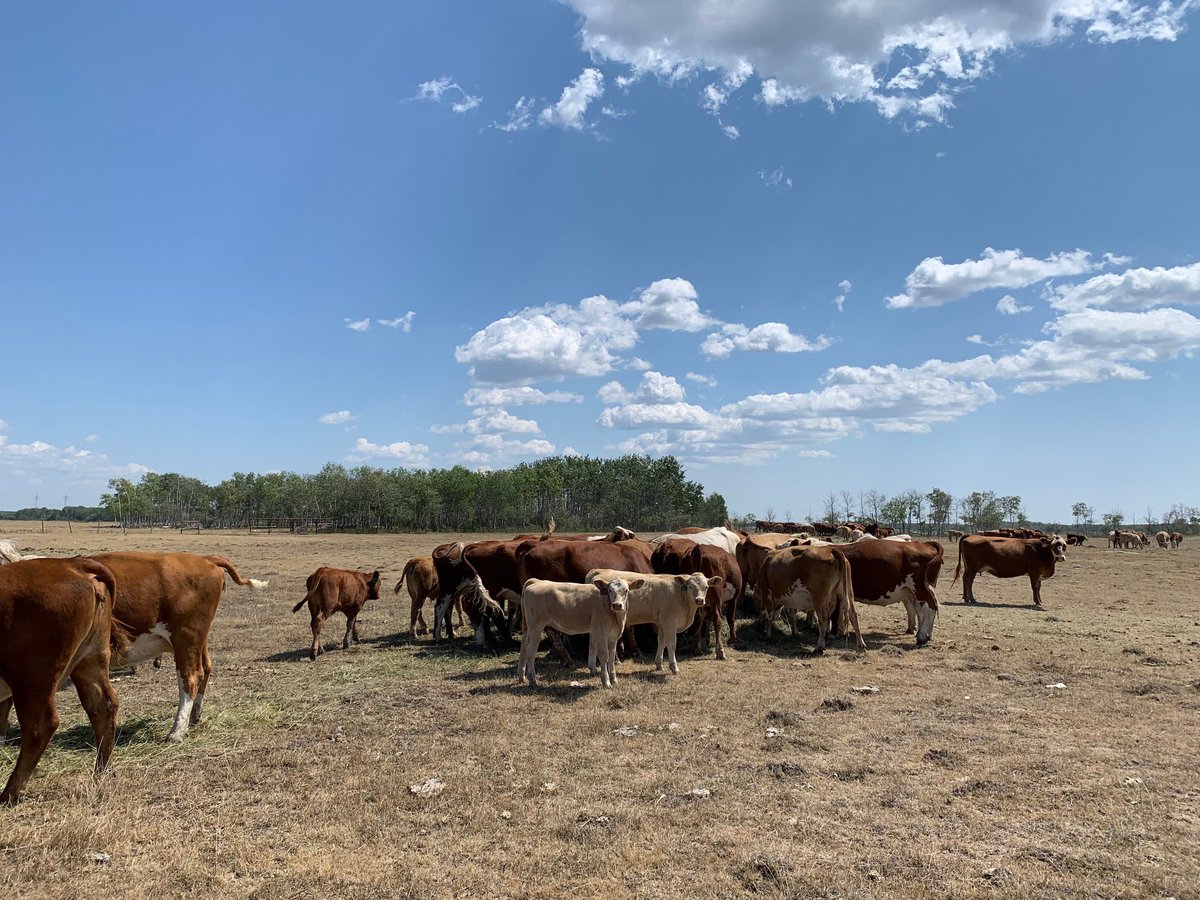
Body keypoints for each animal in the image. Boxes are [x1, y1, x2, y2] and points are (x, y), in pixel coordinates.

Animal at [0, 557, 125, 802]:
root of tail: (71, 564)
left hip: (32, 678)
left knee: (40, 726)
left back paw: (10, 792)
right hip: (90, 660)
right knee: (103, 706)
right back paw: (101, 773)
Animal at [585, 570, 719, 675]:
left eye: (706, 587)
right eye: (690, 587)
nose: (699, 600)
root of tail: (598, 571)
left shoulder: (662, 622)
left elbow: (661, 641)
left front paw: (659, 664)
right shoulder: (670, 621)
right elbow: (671, 643)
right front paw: (674, 667)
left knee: (592, 641)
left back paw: (593, 668)